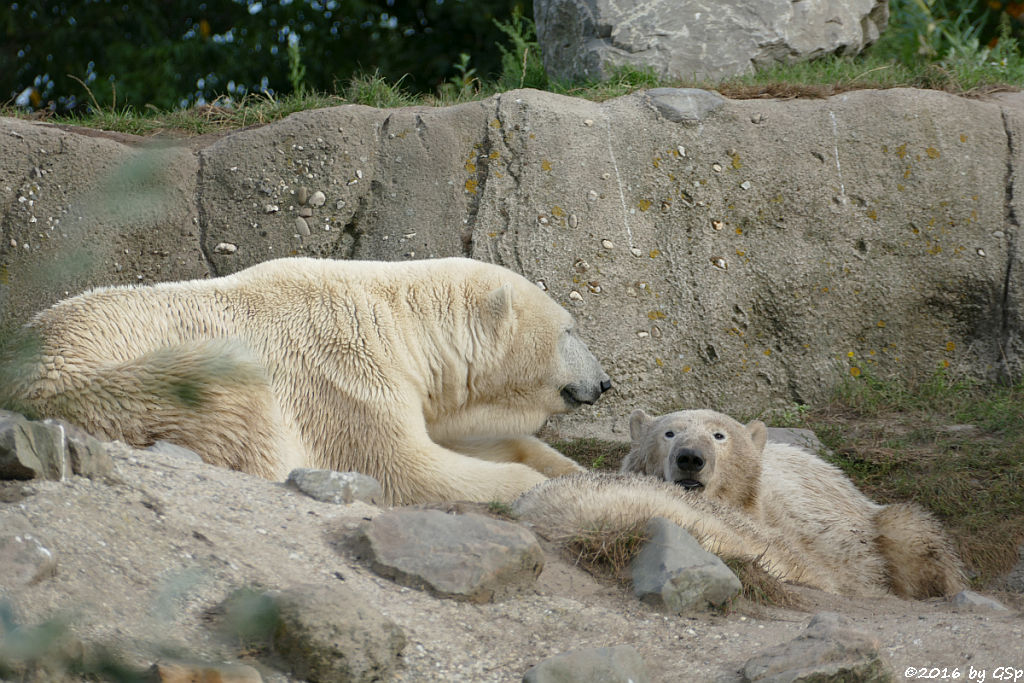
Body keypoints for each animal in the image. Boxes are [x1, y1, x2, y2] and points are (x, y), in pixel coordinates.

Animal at [4, 259, 610, 505]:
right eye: (570, 329)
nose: (605, 383)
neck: (397, 324)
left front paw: (576, 471)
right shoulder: (345, 379)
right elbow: (407, 470)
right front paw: (538, 485)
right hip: (128, 387)